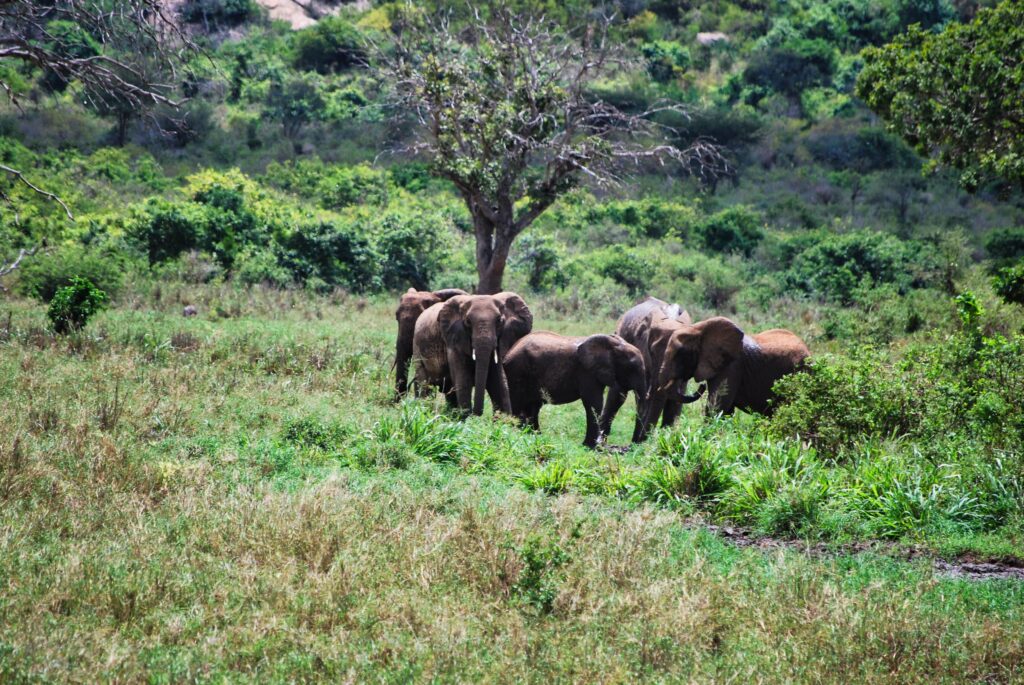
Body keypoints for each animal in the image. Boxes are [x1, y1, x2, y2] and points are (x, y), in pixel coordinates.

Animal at [503, 331, 647, 448]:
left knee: (533, 407)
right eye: (632, 368)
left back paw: (534, 435)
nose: (634, 445)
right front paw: (590, 447)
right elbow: (593, 402)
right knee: (518, 404)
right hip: (517, 371)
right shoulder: (586, 371)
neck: (614, 345)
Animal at [651, 315, 811, 417]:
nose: (701, 387)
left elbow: (717, 406)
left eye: (680, 354)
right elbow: (725, 410)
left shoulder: (732, 366)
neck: (697, 329)